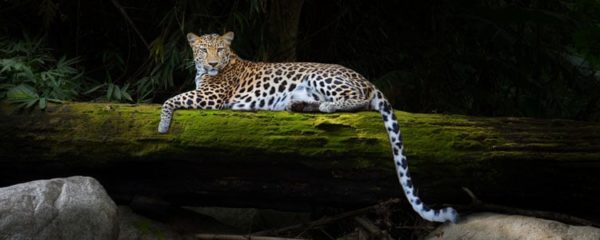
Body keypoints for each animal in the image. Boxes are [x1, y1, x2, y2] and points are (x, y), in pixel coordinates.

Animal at [157, 31, 458, 223]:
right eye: (202, 50)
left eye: (219, 50)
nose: (212, 63)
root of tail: (367, 79)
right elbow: (174, 96)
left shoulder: (210, 97)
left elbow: (171, 98)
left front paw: (162, 124)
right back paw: (297, 105)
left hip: (320, 76)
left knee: (359, 100)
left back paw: (326, 107)